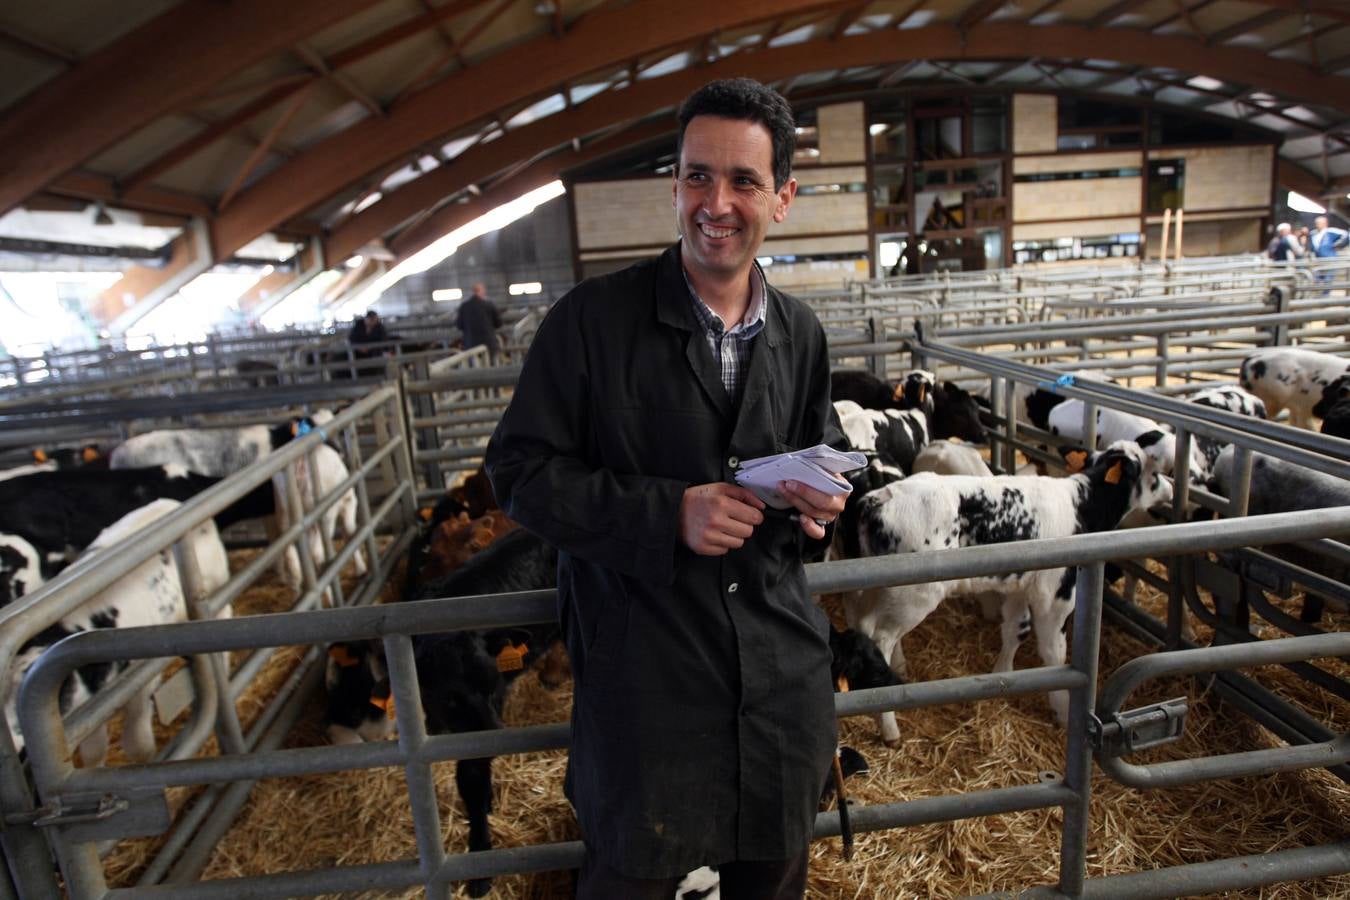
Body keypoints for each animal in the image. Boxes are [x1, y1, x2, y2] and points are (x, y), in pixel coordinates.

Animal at [2, 499, 230, 766]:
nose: (19, 753)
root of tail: (169, 503)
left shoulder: (141, 682)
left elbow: (137, 744)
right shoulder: (86, 710)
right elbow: (94, 751)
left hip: (217, 591)